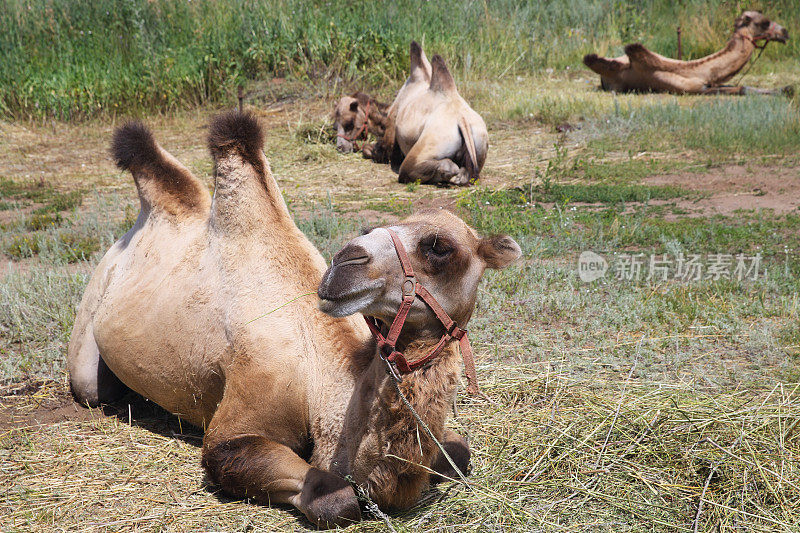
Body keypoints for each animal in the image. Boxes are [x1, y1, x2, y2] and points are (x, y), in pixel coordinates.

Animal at [67, 111, 520, 528]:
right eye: (373, 227)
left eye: (439, 246)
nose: (345, 262)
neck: (322, 378)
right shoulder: (238, 420)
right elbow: (335, 498)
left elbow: (459, 454)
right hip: (90, 321)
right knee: (92, 387)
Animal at [364, 42, 488, 186]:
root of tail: (462, 121)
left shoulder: (391, 124)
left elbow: (380, 150)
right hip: (480, 143)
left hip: (429, 144)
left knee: (411, 169)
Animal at [584, 11, 792, 94]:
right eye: (764, 22)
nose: (785, 32)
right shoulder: (694, 88)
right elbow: (741, 89)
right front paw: (786, 90)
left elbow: (742, 86)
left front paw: (786, 89)